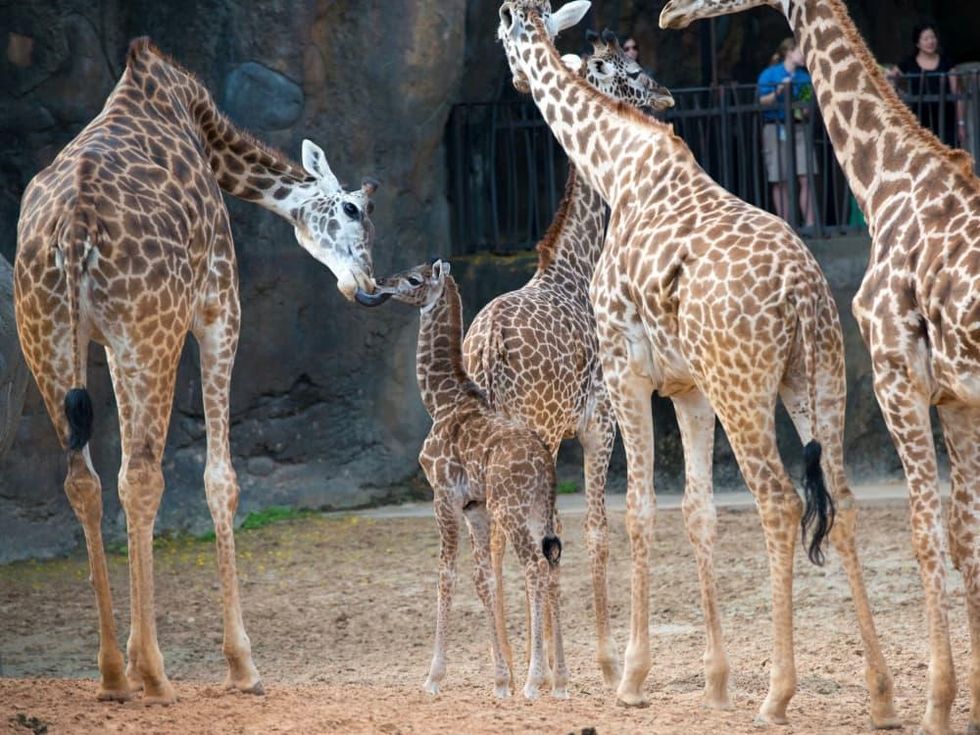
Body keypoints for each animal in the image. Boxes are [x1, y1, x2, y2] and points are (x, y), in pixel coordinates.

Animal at [14, 37, 380, 704]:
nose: (367, 285)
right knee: (142, 476)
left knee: (86, 480)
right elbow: (220, 478)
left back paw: (114, 673)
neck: (200, 121)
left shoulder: (112, 344)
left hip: (53, 338)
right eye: (351, 208)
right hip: (149, 331)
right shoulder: (218, 307)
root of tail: (73, 228)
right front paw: (242, 665)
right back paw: (155, 677)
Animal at [367, 260, 566, 700]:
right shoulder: (476, 507)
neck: (441, 400)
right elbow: (484, 578)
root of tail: (546, 463)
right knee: (551, 563)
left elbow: (446, 575)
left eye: (413, 279)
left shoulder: (444, 496)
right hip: (536, 511)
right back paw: (560, 682)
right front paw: (500, 681)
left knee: (534, 568)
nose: (381, 282)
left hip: (511, 509)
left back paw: (534, 683)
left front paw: (433, 678)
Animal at [460, 33, 674, 687]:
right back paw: (523, 674)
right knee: (509, 542)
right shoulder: (596, 422)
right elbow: (594, 530)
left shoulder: (555, 439)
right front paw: (598, 665)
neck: (574, 267)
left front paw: (559, 666)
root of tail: (484, 350)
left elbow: (554, 534)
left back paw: (504, 673)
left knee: (487, 550)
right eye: (632, 71)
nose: (666, 93)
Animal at [497, 1, 899, 726]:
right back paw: (881, 695)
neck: (616, 165)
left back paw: (777, 694)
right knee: (844, 501)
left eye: (503, 29)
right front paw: (714, 682)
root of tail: (802, 294)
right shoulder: (689, 388)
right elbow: (698, 512)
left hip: (746, 389)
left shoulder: (627, 372)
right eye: (625, 67)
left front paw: (632, 677)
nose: (514, 79)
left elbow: (637, 510)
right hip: (818, 379)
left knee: (780, 501)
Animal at [659, 3, 980, 734]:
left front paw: (937, 704)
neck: (888, 182)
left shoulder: (898, 375)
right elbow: (963, 536)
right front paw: (971, 697)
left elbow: (925, 534)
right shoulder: (955, 398)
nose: (667, 14)